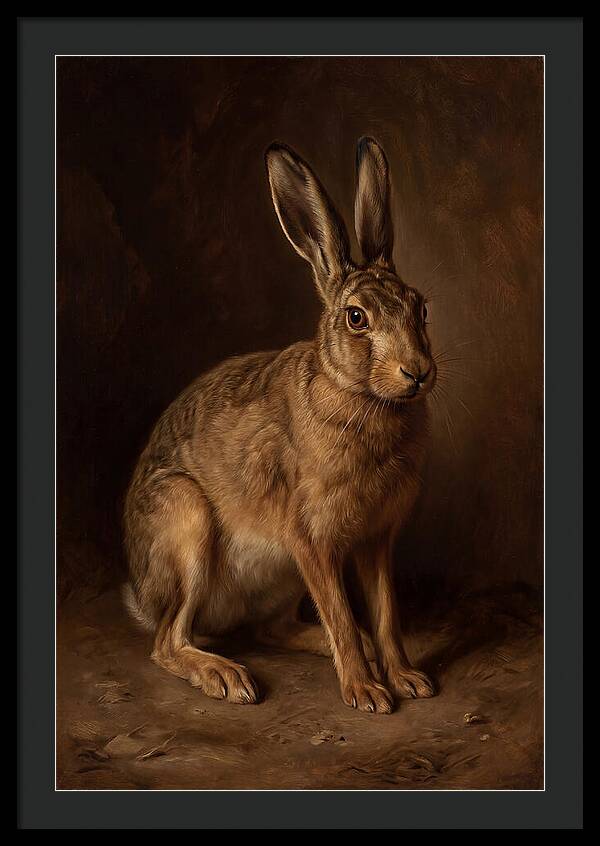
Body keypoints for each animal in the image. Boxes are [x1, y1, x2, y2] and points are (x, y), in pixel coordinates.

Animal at [123, 137, 436, 713]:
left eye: (420, 308)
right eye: (356, 318)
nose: (418, 372)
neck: (360, 395)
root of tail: (142, 593)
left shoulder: (375, 540)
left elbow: (385, 615)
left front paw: (406, 678)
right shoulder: (310, 539)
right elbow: (340, 613)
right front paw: (367, 693)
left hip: (280, 579)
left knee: (273, 630)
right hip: (186, 521)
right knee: (168, 641)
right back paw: (226, 677)